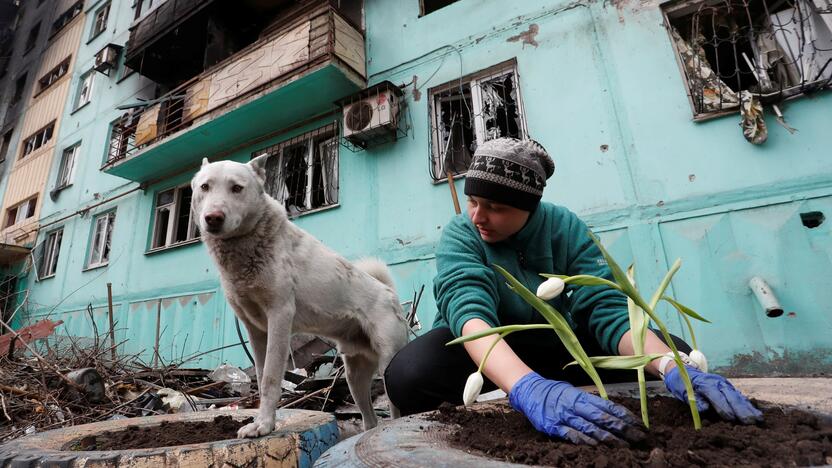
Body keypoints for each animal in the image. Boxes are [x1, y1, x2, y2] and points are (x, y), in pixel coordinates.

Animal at [189, 155, 410, 436]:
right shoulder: (255, 330)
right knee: (369, 419)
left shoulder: (279, 317)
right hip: (354, 376)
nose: (213, 218)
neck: (247, 245)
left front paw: (264, 426)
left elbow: (271, 378)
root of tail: (390, 293)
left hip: (388, 364)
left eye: (237, 188)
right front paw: (263, 422)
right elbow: (260, 376)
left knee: (395, 412)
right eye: (205, 187)